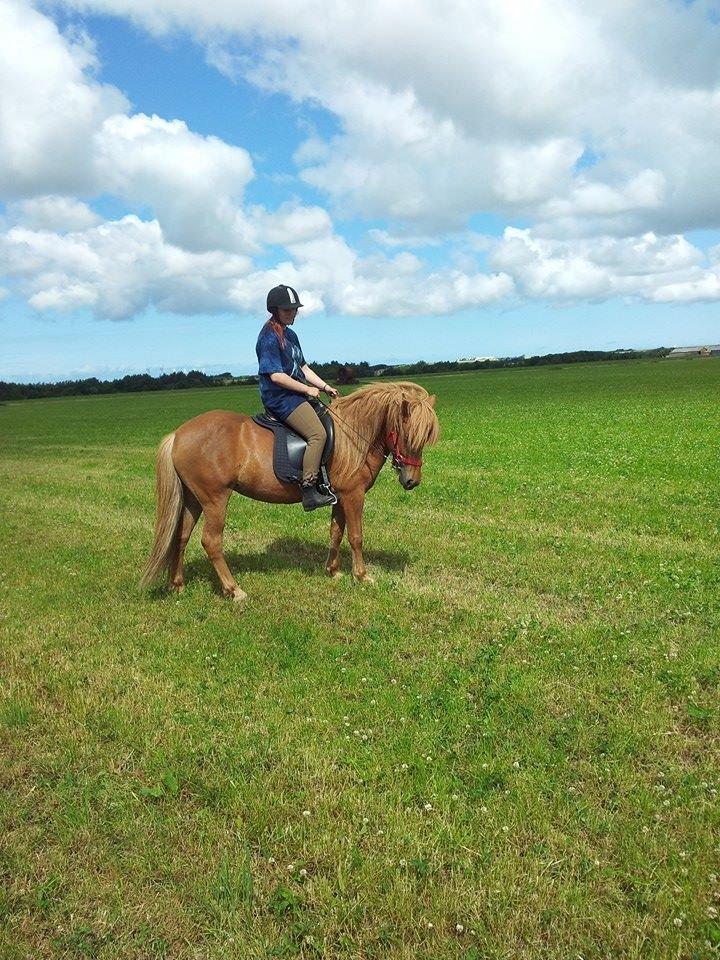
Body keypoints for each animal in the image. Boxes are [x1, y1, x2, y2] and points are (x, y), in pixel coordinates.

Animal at [141, 380, 438, 600]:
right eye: (408, 435)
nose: (411, 481)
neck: (351, 437)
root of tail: (178, 435)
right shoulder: (354, 495)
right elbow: (356, 536)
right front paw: (363, 576)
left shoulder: (340, 497)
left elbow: (336, 533)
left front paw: (333, 571)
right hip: (215, 499)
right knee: (211, 541)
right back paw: (234, 590)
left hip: (194, 498)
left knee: (181, 537)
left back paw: (178, 585)